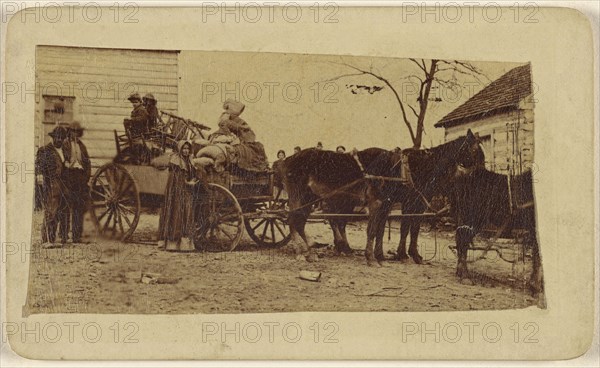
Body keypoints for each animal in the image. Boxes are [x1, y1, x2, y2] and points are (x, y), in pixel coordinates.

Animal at [282, 129, 482, 264]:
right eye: (475, 151)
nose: (481, 172)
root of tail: (288, 160)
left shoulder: (392, 203)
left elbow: (385, 229)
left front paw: (386, 255)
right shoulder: (407, 202)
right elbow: (405, 228)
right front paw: (403, 255)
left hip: (314, 198)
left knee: (308, 221)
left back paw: (320, 250)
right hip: (305, 196)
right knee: (298, 220)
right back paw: (304, 251)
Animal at [450, 167, 544, 296]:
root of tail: (463, 173)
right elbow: (538, 256)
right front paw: (536, 288)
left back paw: (460, 272)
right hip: (472, 218)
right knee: (463, 242)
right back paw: (465, 276)